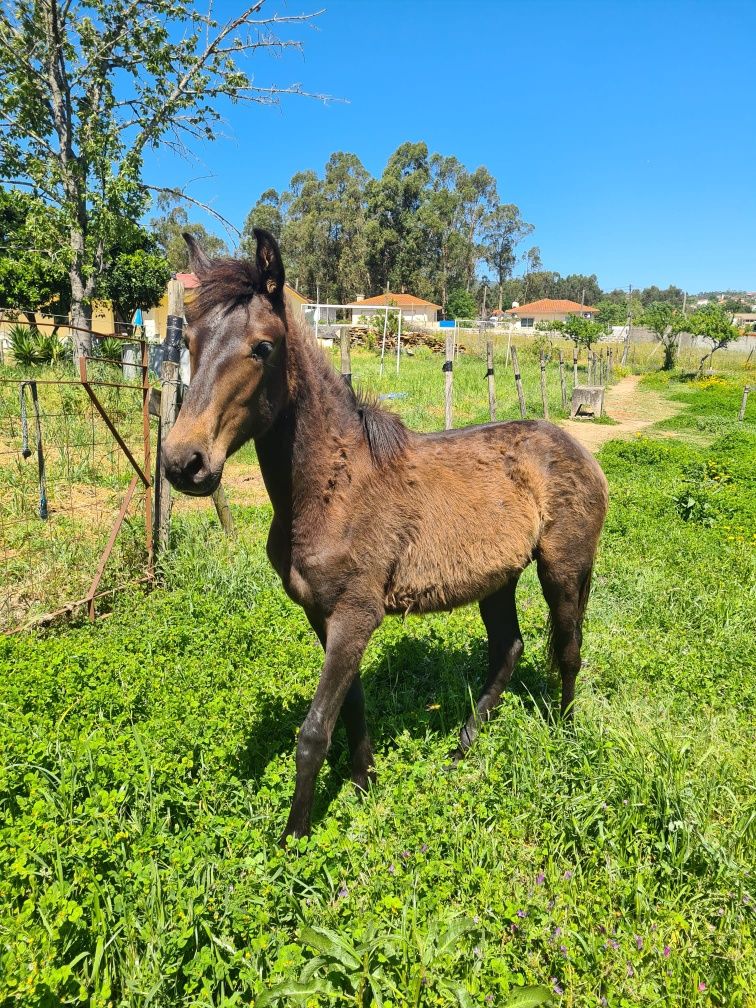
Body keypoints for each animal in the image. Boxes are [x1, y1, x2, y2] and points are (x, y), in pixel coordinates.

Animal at [164, 231, 608, 838]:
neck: (334, 488)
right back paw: (462, 747)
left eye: (263, 348)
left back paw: (563, 735)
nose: (183, 463)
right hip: (497, 579)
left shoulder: (357, 614)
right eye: (188, 339)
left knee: (568, 649)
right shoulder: (324, 614)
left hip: (563, 568)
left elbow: (313, 731)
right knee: (508, 649)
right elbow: (351, 707)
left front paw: (295, 836)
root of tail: (577, 449)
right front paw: (361, 782)